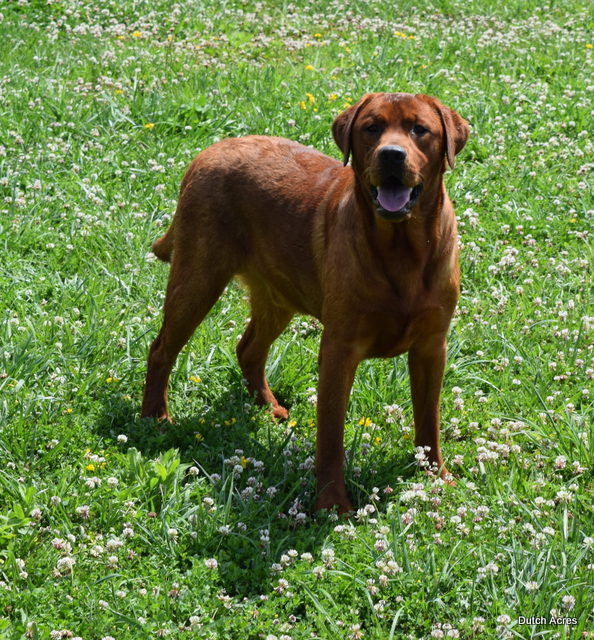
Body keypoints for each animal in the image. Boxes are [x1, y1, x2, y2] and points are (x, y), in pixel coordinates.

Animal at [142, 91, 468, 510]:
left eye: (419, 130)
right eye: (372, 128)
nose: (391, 155)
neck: (403, 250)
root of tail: (213, 148)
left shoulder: (431, 347)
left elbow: (429, 423)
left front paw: (435, 477)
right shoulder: (338, 349)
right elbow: (330, 437)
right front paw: (332, 504)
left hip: (278, 296)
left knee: (248, 348)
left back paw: (268, 406)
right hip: (198, 279)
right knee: (162, 349)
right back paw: (155, 417)